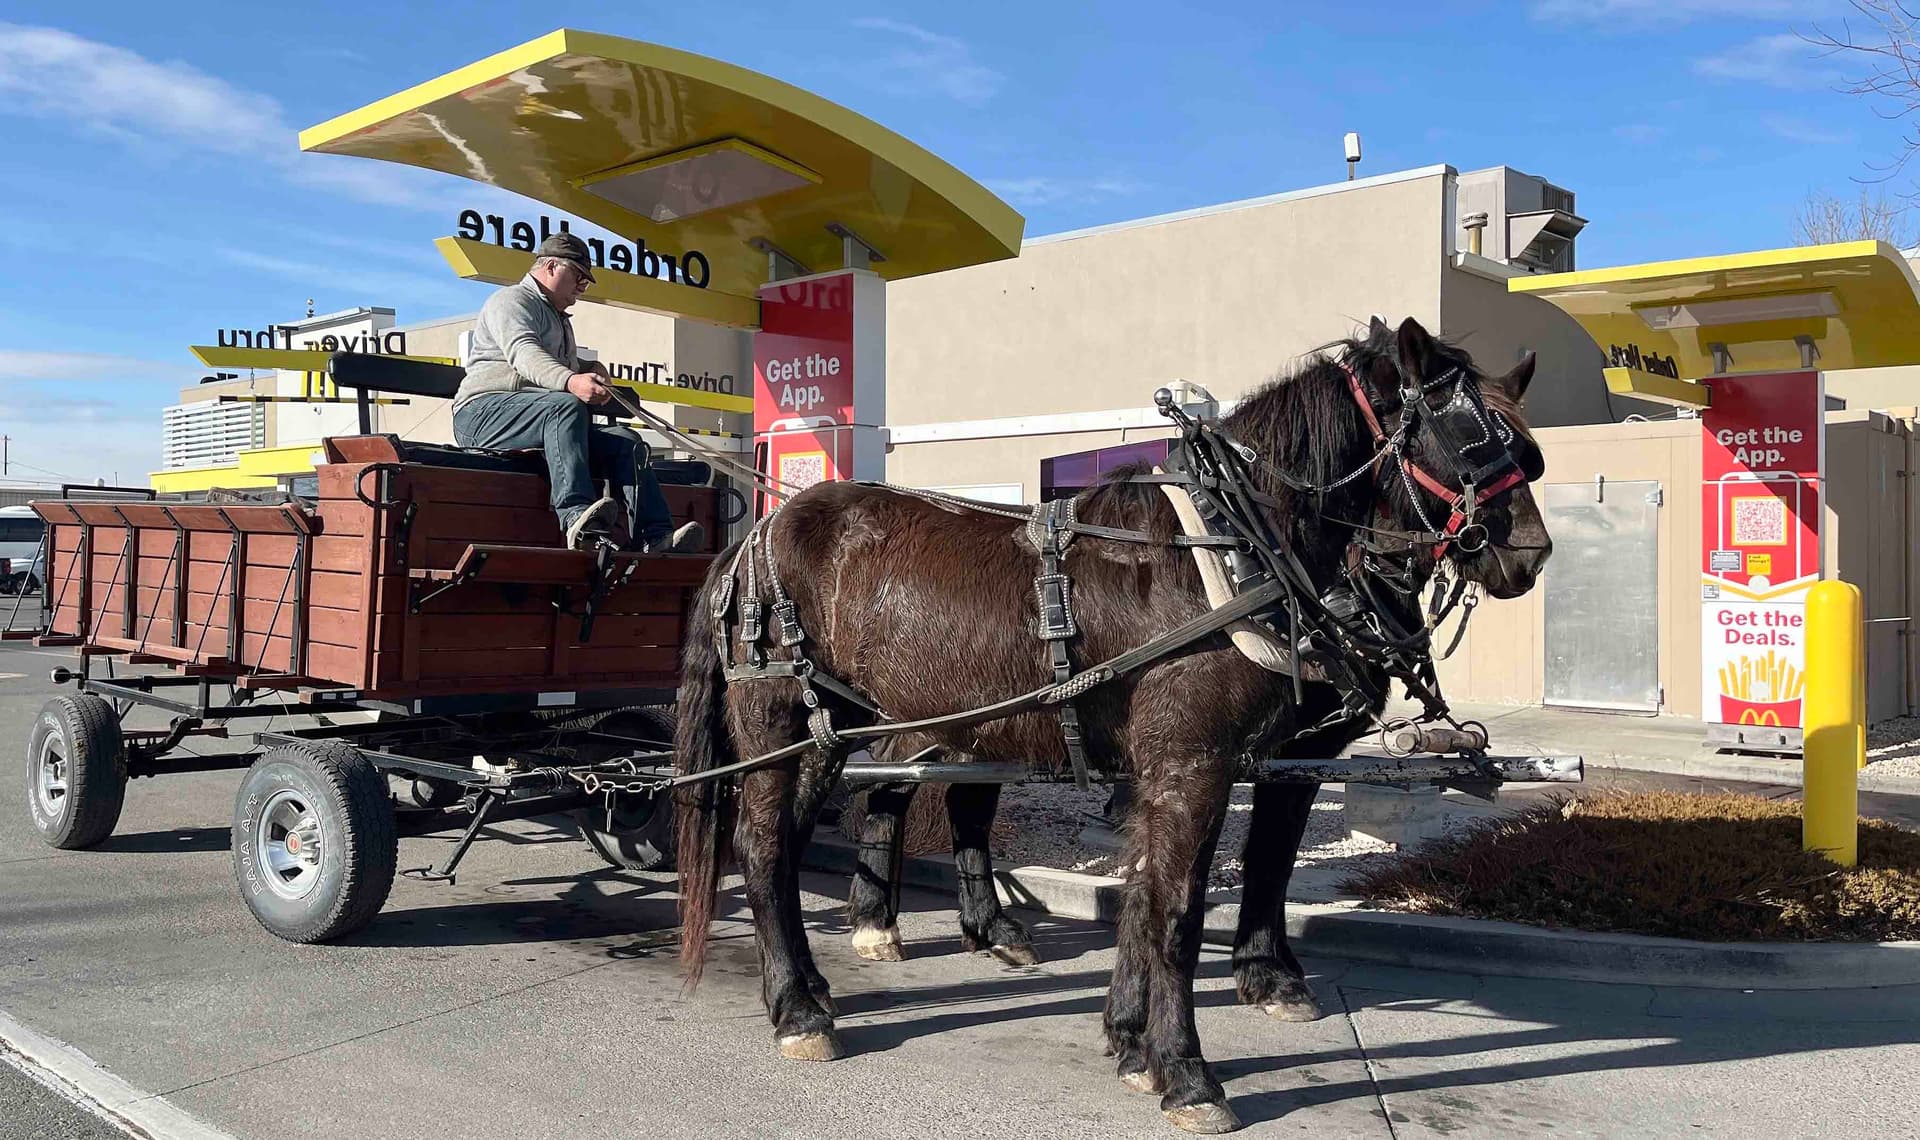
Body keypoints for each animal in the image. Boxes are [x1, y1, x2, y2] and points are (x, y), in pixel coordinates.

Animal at [675, 315, 1551, 1134]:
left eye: (1529, 451)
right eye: (1471, 438)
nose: (1531, 555)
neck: (1235, 549)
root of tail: (756, 534)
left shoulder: (1233, 763)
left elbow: (1182, 885)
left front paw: (1136, 1039)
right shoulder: (1194, 764)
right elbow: (1176, 912)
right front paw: (1186, 1071)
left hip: (838, 726)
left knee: (805, 833)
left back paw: (821, 982)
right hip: (780, 716)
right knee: (763, 841)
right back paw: (799, 1008)